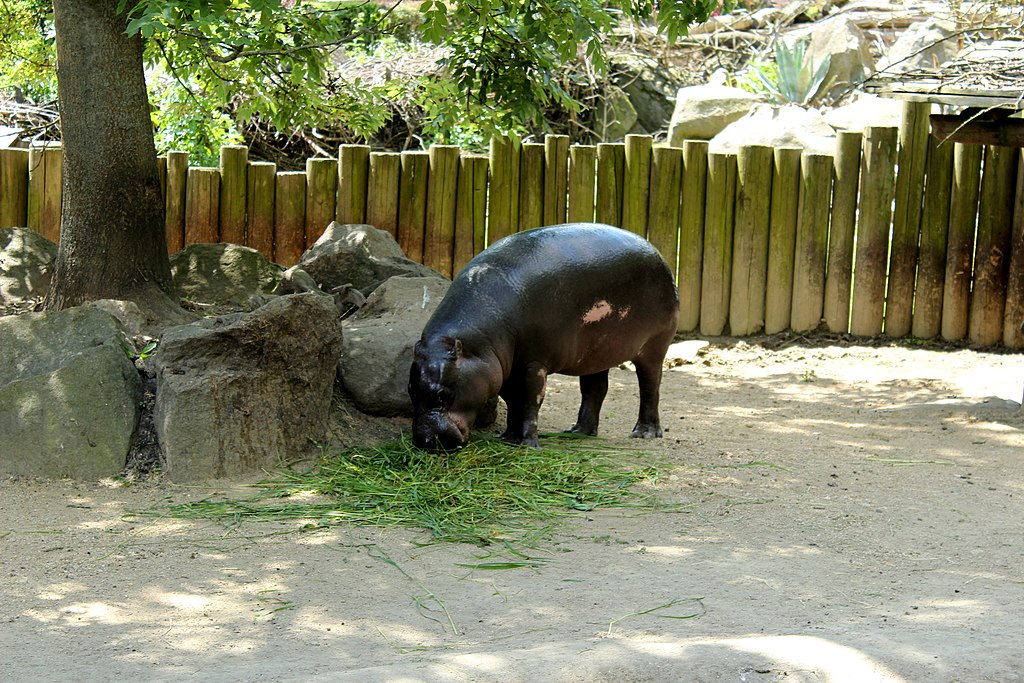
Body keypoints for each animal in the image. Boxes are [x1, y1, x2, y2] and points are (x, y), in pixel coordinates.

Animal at [408, 222, 679, 451]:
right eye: (411, 391)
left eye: (442, 395)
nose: (425, 442)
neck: (476, 343)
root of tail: (658, 255)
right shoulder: (505, 367)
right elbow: (513, 402)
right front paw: (508, 438)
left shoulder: (534, 363)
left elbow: (530, 402)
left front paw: (528, 445)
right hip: (595, 353)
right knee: (595, 389)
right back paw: (578, 431)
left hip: (654, 347)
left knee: (650, 387)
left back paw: (644, 433)